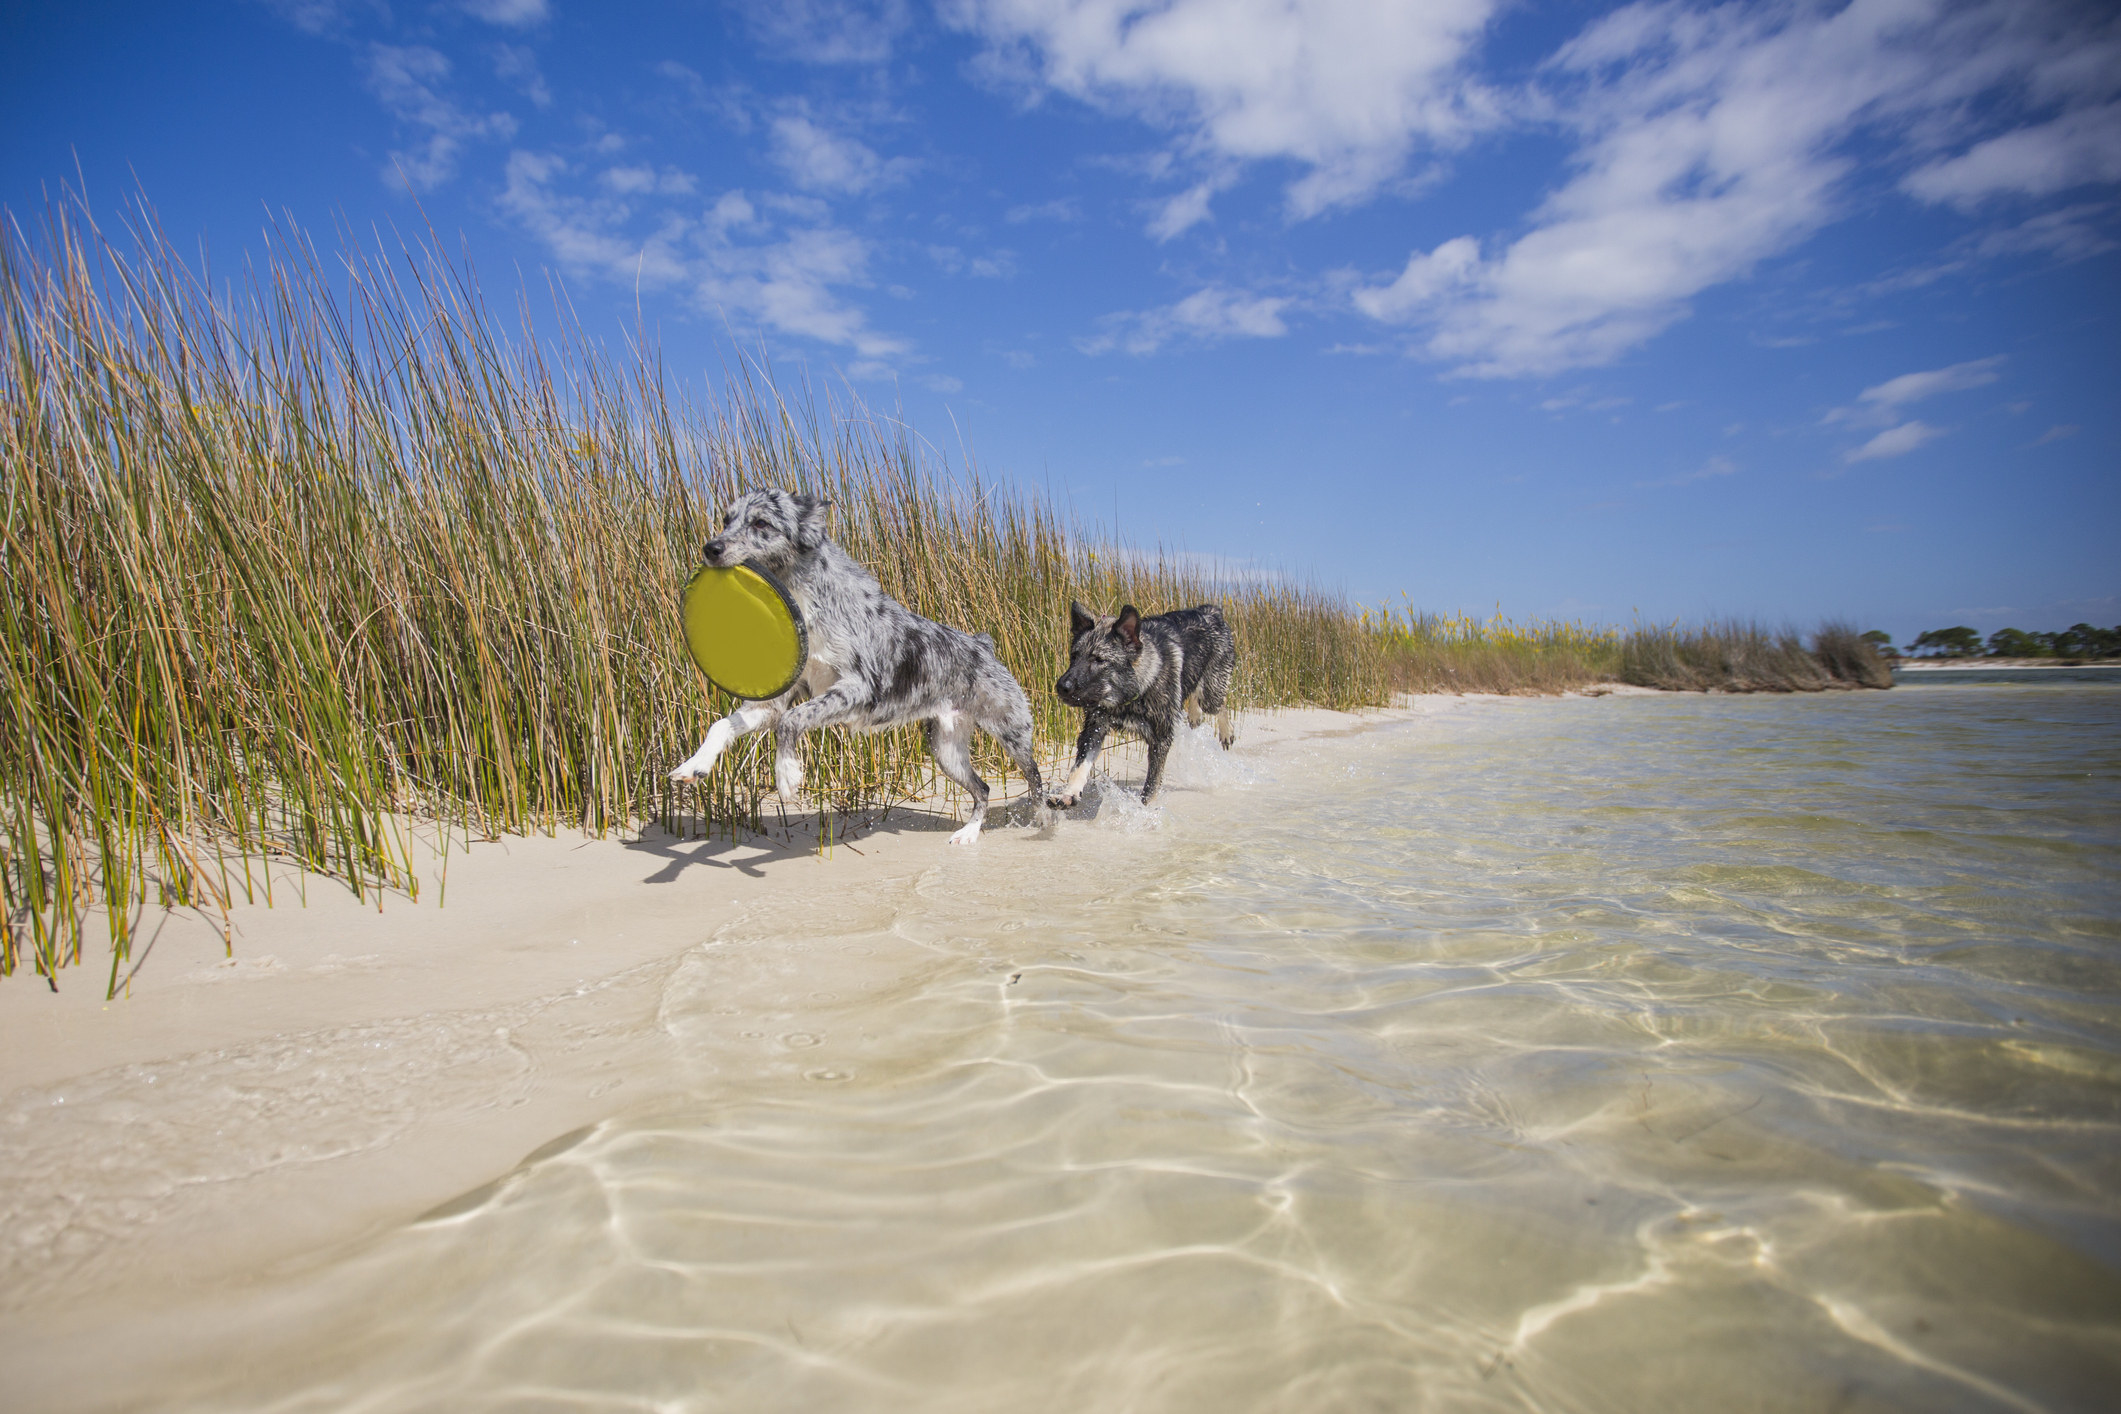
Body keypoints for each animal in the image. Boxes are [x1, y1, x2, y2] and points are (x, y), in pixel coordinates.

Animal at [670, 489, 1052, 839]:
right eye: (725, 519)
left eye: (761, 523)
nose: (710, 548)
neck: (809, 602)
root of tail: (982, 645)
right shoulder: (775, 702)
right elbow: (721, 725)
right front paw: (694, 765)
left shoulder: (858, 689)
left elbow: (792, 721)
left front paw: (786, 774)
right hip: (946, 749)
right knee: (983, 788)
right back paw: (969, 833)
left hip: (1012, 734)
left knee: (1036, 783)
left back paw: (1044, 824)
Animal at [1047, 602, 1238, 814]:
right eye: (1074, 656)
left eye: (1099, 660)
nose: (1061, 687)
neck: (1130, 697)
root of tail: (1211, 610)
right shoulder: (1093, 731)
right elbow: (1079, 766)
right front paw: (1068, 794)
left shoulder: (1160, 741)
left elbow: (1152, 785)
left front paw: (1142, 809)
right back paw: (1195, 715)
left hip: (1211, 695)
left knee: (1220, 704)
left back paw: (1226, 732)